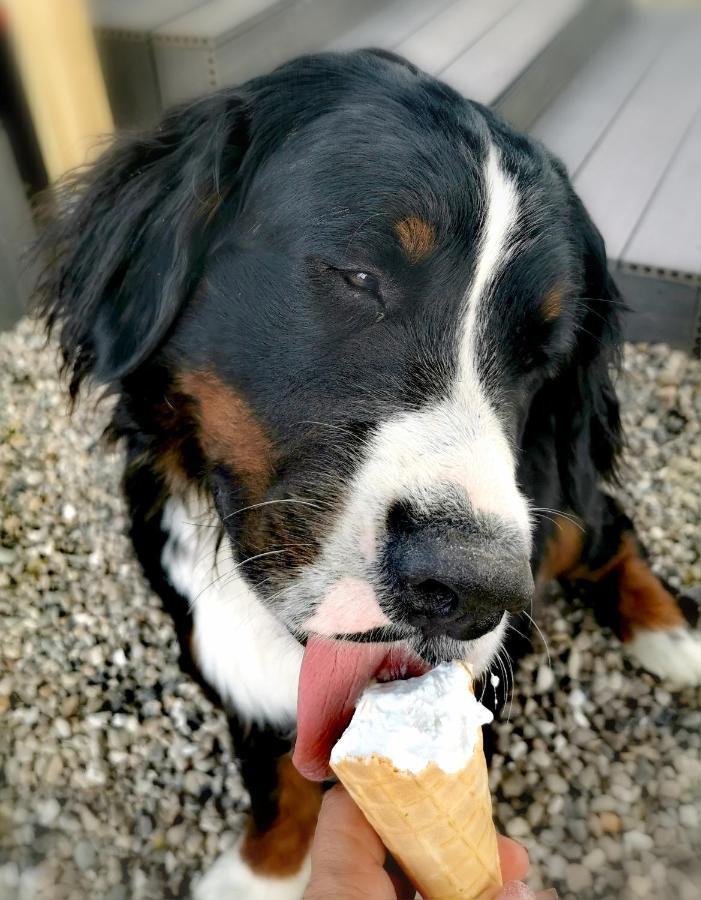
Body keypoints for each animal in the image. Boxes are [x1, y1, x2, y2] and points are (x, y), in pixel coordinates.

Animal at [34, 51, 700, 900]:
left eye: (543, 354)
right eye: (356, 275)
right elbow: (276, 781)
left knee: (611, 530)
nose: (471, 589)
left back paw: (670, 634)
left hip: (558, 515)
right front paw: (263, 874)